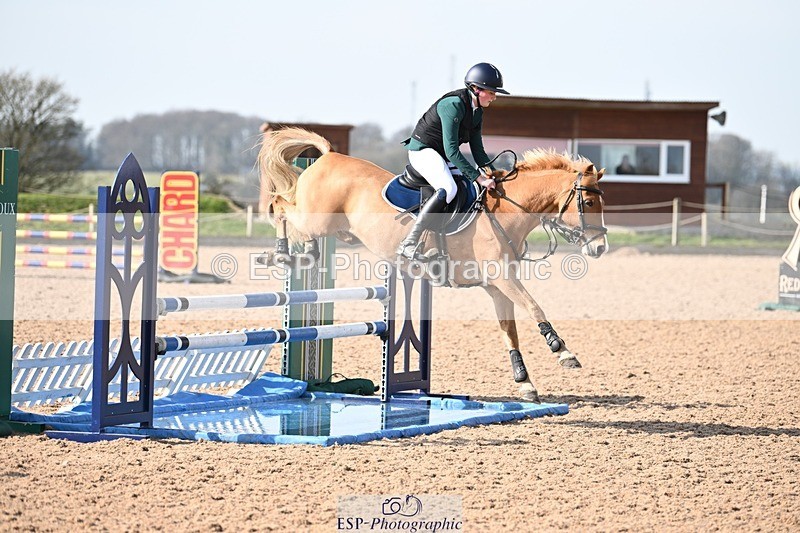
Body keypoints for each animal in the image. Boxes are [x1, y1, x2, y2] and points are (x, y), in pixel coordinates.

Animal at [258, 127, 608, 402]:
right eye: (589, 202)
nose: (600, 247)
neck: (506, 212)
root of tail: (328, 156)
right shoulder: (503, 280)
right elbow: (535, 307)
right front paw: (563, 352)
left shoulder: (497, 287)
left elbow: (509, 331)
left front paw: (525, 384)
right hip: (315, 217)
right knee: (280, 203)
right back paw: (281, 253)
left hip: (331, 227)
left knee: (291, 212)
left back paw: (305, 252)